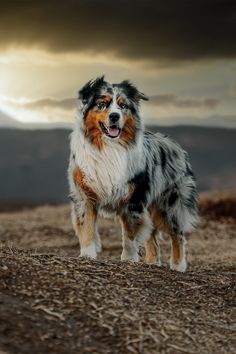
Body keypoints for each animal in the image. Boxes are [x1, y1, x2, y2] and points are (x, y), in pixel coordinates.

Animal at [67, 76, 198, 272]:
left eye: (123, 105)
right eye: (102, 104)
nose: (114, 116)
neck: (109, 147)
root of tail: (177, 146)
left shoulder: (133, 199)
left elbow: (130, 234)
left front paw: (129, 259)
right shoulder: (85, 195)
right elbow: (87, 227)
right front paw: (87, 255)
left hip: (169, 204)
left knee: (178, 234)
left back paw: (178, 265)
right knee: (152, 238)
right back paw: (152, 262)